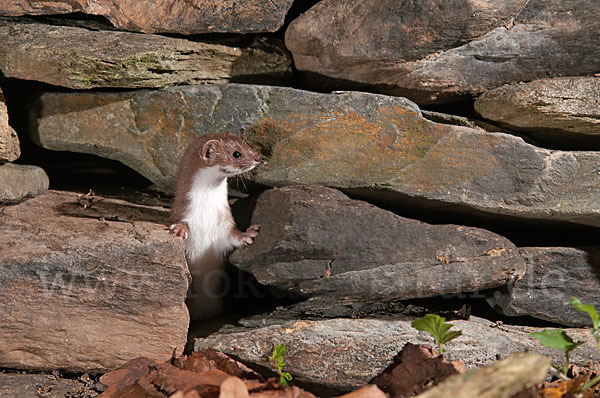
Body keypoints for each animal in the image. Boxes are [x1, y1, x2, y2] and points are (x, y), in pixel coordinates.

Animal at [170, 131, 262, 320]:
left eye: (246, 143)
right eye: (236, 153)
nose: (258, 157)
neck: (206, 215)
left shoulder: (225, 225)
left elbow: (234, 237)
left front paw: (249, 233)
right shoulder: (182, 212)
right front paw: (180, 228)